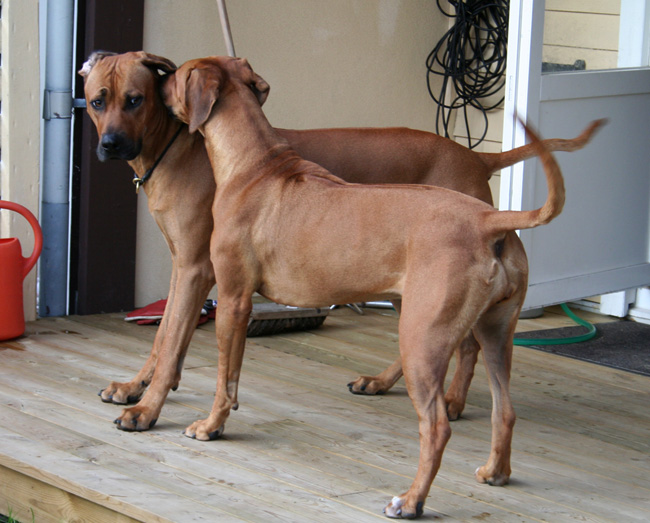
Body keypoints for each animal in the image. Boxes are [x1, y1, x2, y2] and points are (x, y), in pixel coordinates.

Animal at [81, 51, 604, 438]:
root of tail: (475, 155)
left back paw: (453, 400)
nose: (110, 145)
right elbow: (165, 336)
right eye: (96, 102)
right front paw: (136, 388)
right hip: (412, 294)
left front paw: (150, 410)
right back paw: (383, 382)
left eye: (135, 99)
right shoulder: (185, 266)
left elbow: (176, 344)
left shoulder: (202, 272)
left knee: (467, 349)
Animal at [159, 57, 568, 520]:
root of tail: (488, 220)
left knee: (437, 426)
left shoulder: (232, 299)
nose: (159, 80)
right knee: (505, 409)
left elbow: (225, 380)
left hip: (423, 335)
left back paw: (412, 499)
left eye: (178, 75)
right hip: (495, 331)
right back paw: (495, 471)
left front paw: (211, 426)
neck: (254, 165)